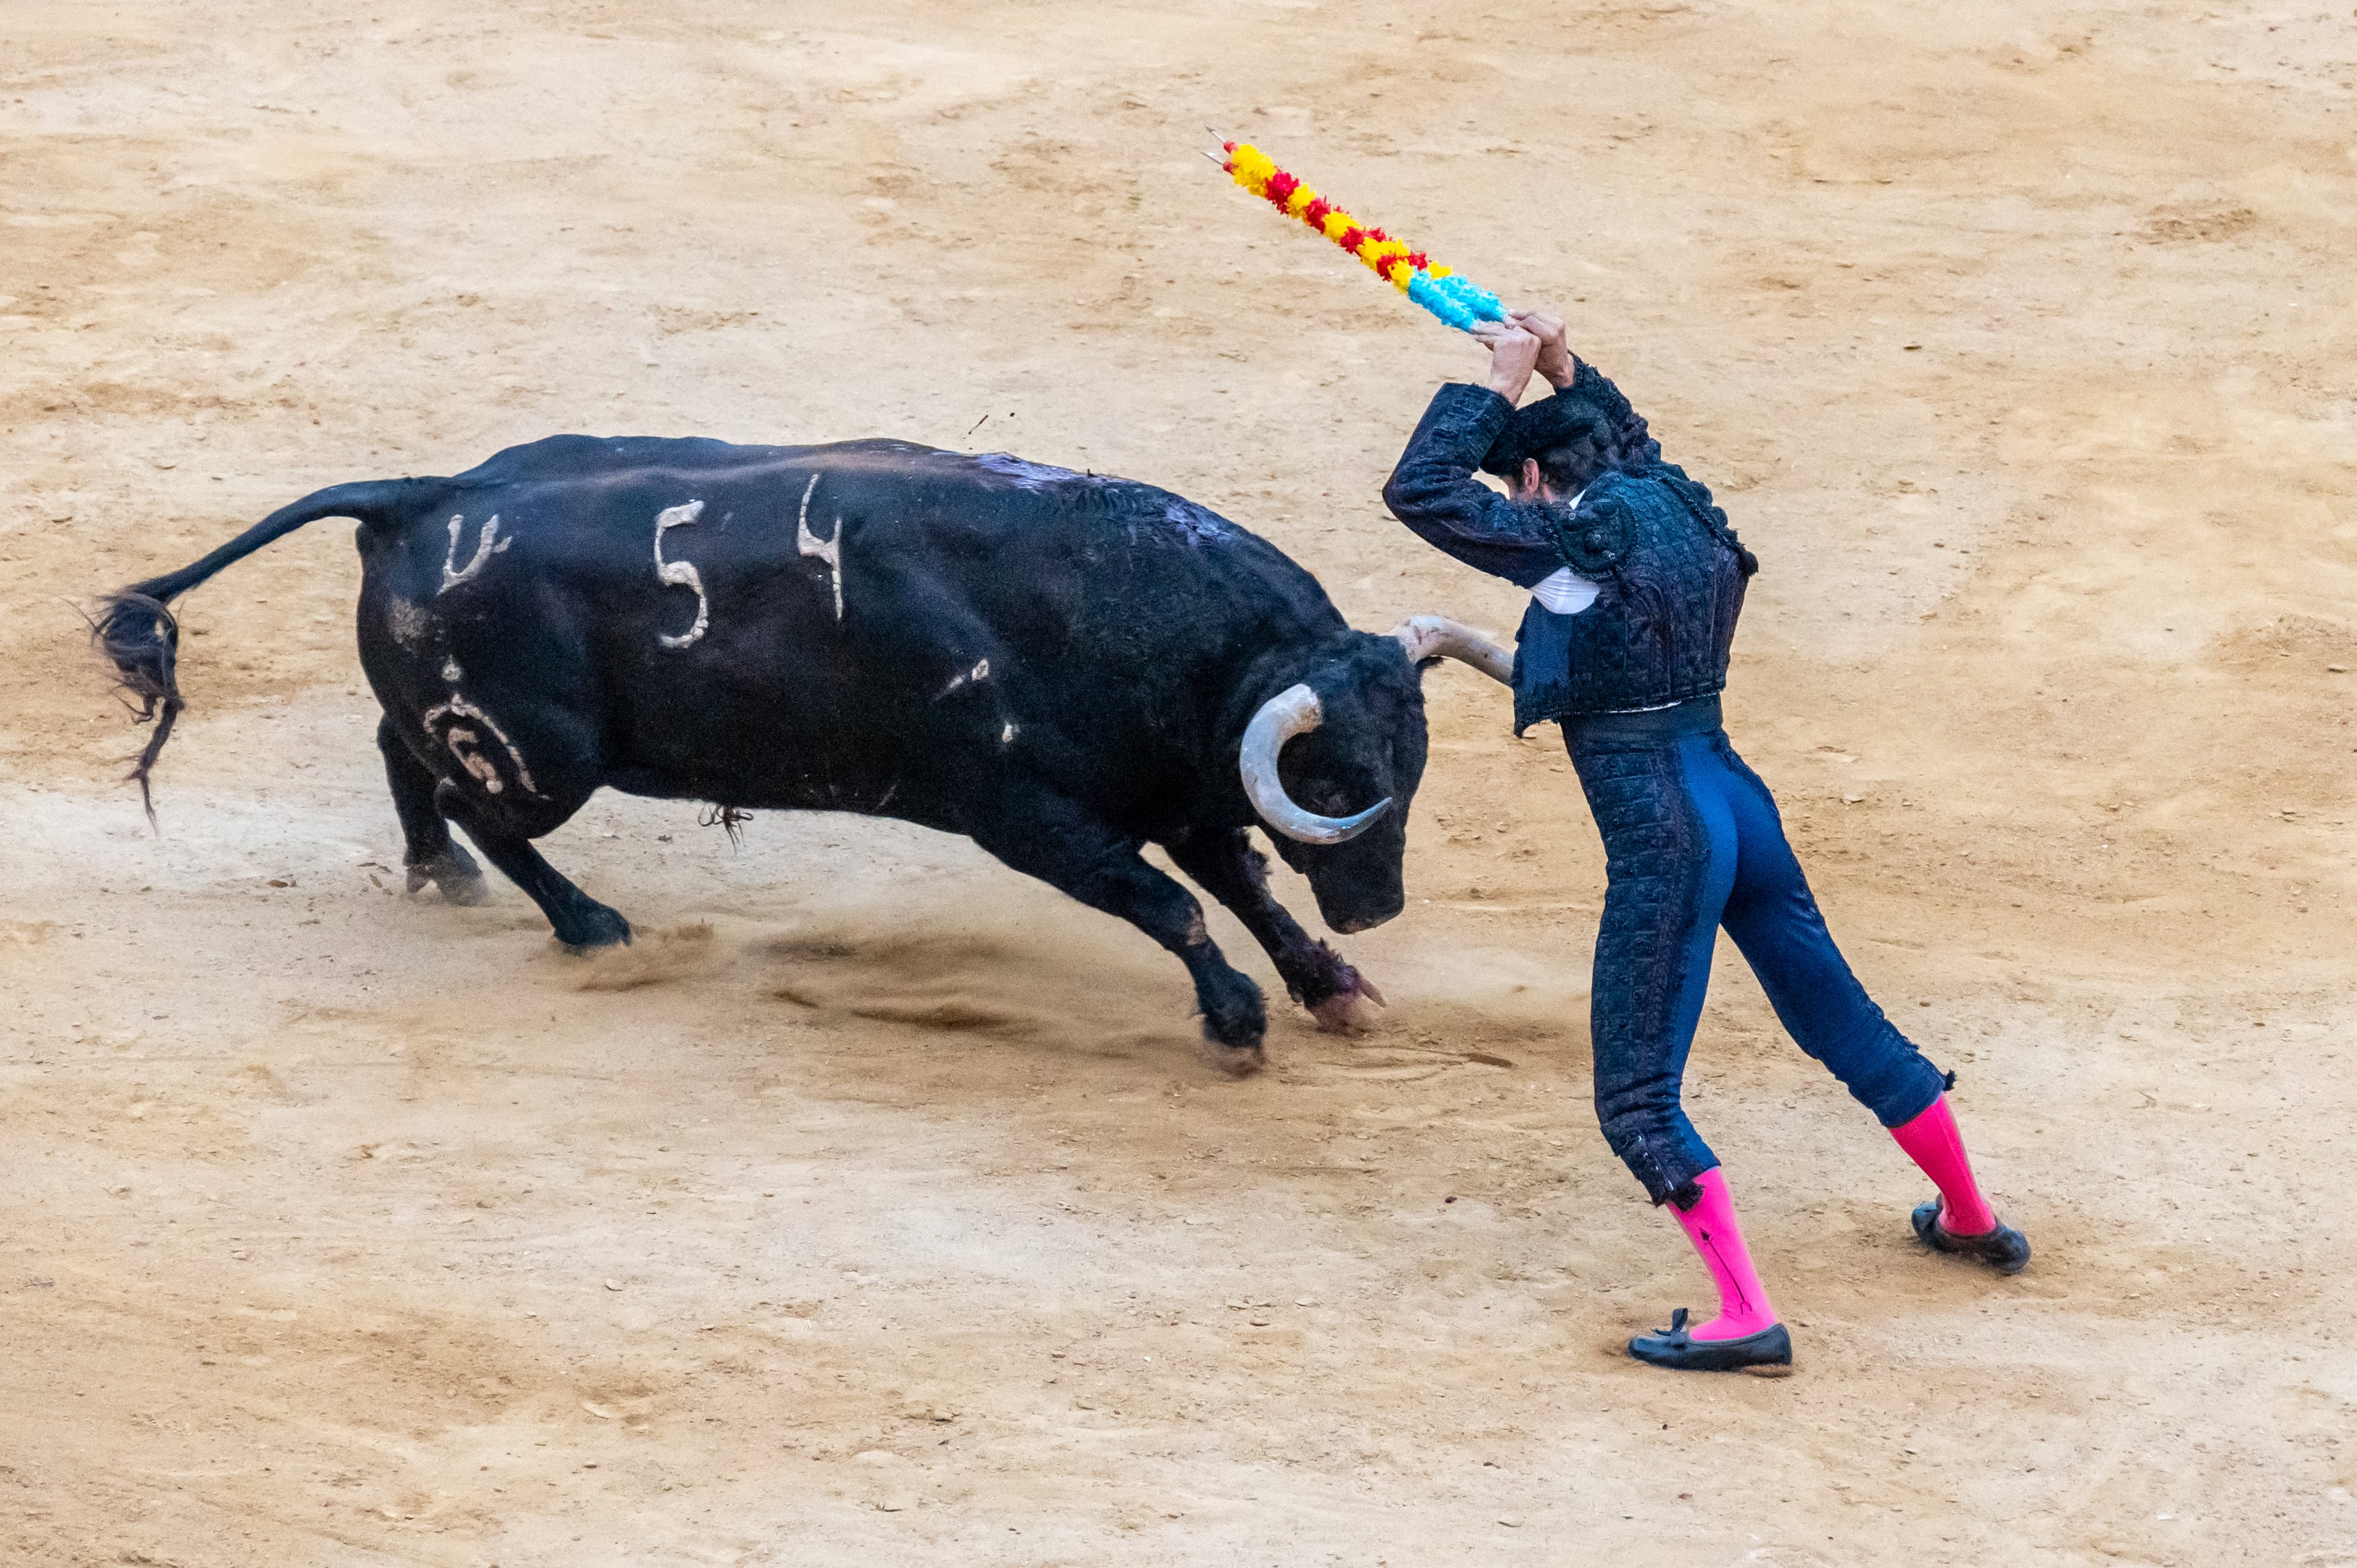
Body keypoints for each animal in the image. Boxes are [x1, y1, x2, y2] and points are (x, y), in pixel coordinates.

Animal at [96, 441, 1508, 1075]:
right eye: (1336, 781)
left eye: (1417, 762)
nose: (1377, 907)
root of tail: (422, 496)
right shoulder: (1028, 816)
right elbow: (1175, 905)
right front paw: (1236, 1021)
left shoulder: (1174, 790)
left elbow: (1243, 886)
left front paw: (1335, 987)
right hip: (549, 761)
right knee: (475, 799)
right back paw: (592, 926)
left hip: (497, 733)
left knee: (405, 752)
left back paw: (440, 879)